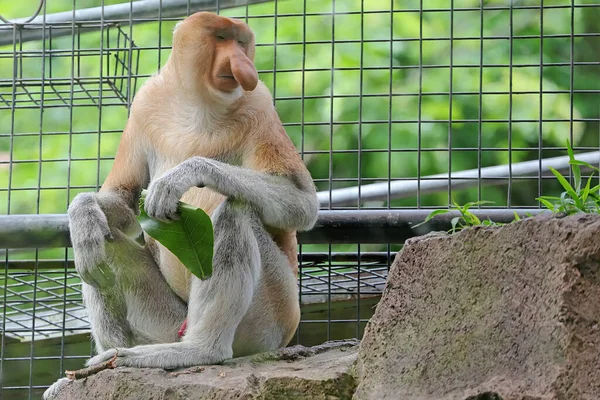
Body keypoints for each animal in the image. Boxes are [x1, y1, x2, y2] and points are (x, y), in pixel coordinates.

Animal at [42, 10, 318, 398]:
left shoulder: (260, 104)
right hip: (167, 321)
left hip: (274, 314)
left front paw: (185, 174)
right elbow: (122, 198)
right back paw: (109, 360)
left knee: (234, 210)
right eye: (221, 38)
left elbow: (300, 200)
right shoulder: (145, 103)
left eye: (241, 41)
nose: (242, 63)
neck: (198, 103)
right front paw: (82, 217)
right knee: (101, 248)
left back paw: (199, 350)